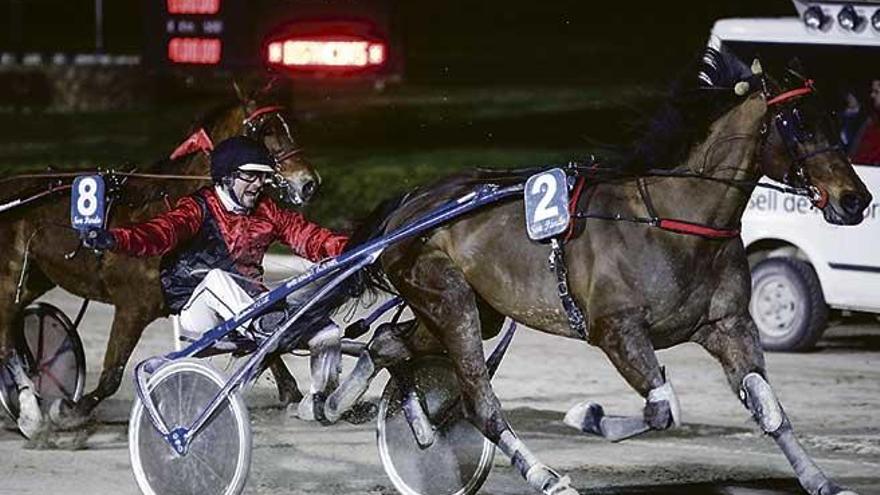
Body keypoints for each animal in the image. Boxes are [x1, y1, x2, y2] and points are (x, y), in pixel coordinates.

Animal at [0, 83, 322, 440]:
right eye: (266, 131)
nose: (309, 183)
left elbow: (262, 336)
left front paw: (294, 395)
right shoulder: (132, 307)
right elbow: (111, 376)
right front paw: (69, 410)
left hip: (35, 277)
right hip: (10, 276)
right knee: (5, 338)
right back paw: (31, 413)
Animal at [326, 47, 868, 495]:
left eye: (834, 118)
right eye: (799, 124)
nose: (855, 199)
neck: (676, 219)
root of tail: (412, 203)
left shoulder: (728, 326)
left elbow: (769, 410)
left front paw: (821, 481)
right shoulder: (617, 330)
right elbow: (662, 409)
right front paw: (587, 416)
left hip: (473, 310)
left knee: (387, 342)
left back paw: (348, 405)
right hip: (450, 300)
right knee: (480, 402)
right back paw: (543, 475)